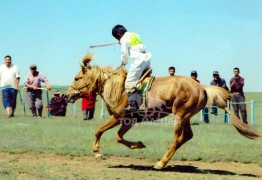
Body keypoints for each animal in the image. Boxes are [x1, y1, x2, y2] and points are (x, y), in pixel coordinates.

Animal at [66, 64, 260, 169]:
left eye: (76, 78)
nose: (66, 95)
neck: (118, 88)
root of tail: (202, 87)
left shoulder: (119, 117)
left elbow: (99, 131)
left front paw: (97, 153)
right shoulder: (129, 121)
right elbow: (118, 137)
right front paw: (138, 144)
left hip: (179, 115)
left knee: (178, 138)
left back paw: (161, 162)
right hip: (185, 117)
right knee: (187, 136)